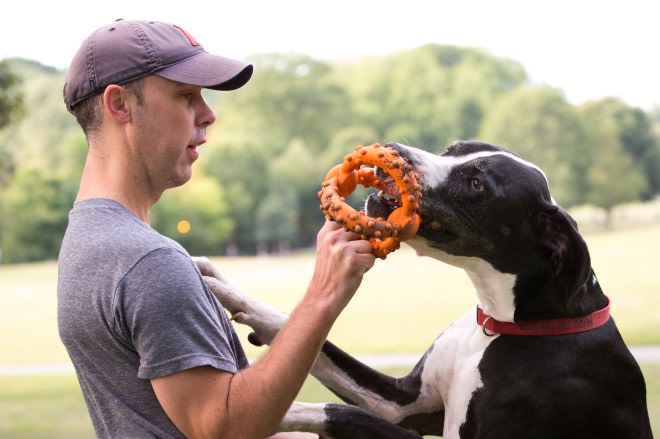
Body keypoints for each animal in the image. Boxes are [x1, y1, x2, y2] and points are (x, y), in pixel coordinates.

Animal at [196, 142, 648, 439]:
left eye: (477, 183)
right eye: (454, 149)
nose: (395, 150)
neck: (500, 323)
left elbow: (338, 412)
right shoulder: (403, 401)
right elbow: (302, 337)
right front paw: (220, 287)